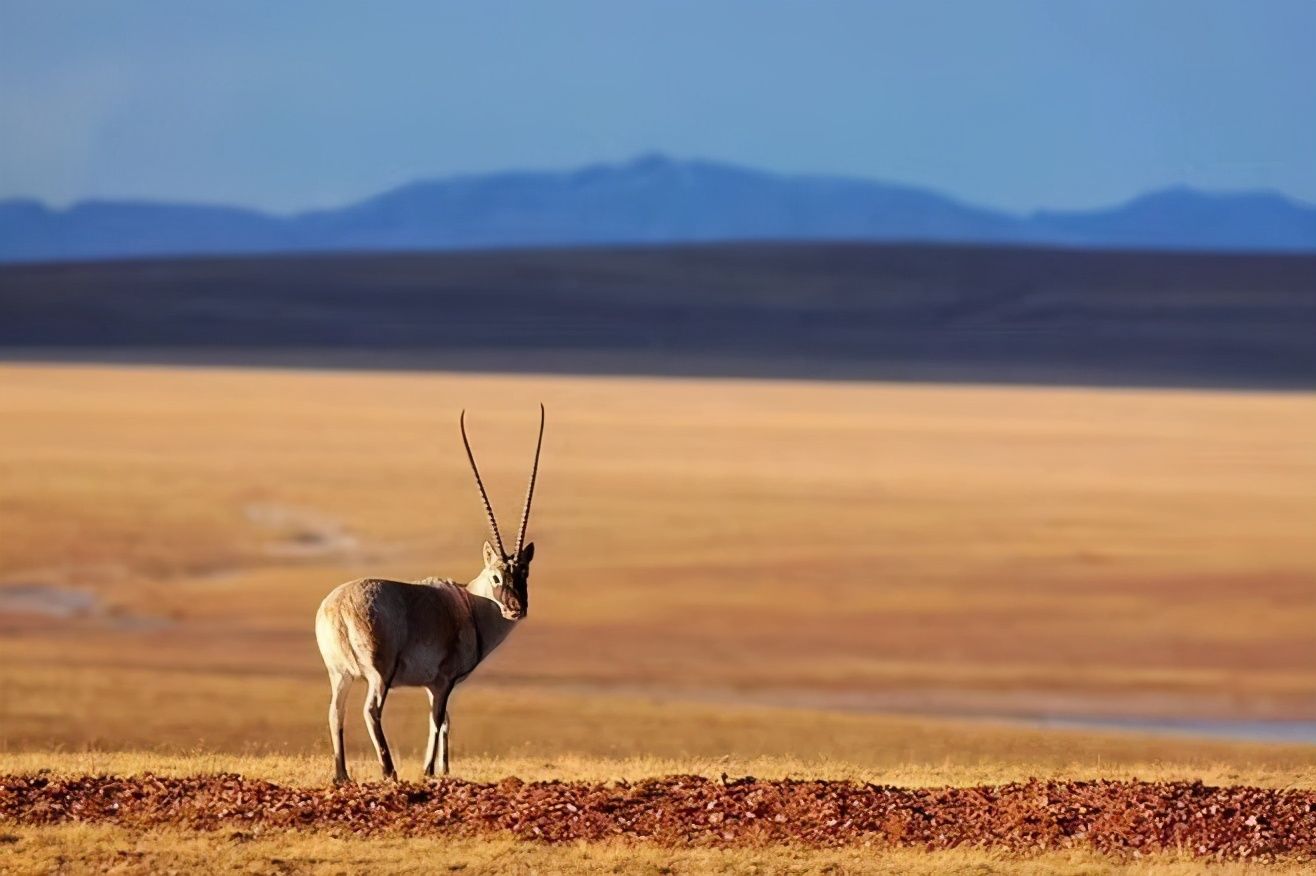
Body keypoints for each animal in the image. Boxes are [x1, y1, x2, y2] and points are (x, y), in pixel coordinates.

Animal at [313, 402, 544, 778]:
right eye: (496, 577)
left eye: (523, 572)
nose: (515, 608)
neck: (470, 604)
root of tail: (339, 608)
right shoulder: (442, 681)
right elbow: (437, 720)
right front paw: (429, 771)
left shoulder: (432, 686)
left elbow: (445, 720)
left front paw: (443, 768)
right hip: (379, 674)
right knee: (371, 711)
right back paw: (389, 771)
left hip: (340, 674)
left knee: (336, 712)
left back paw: (341, 776)